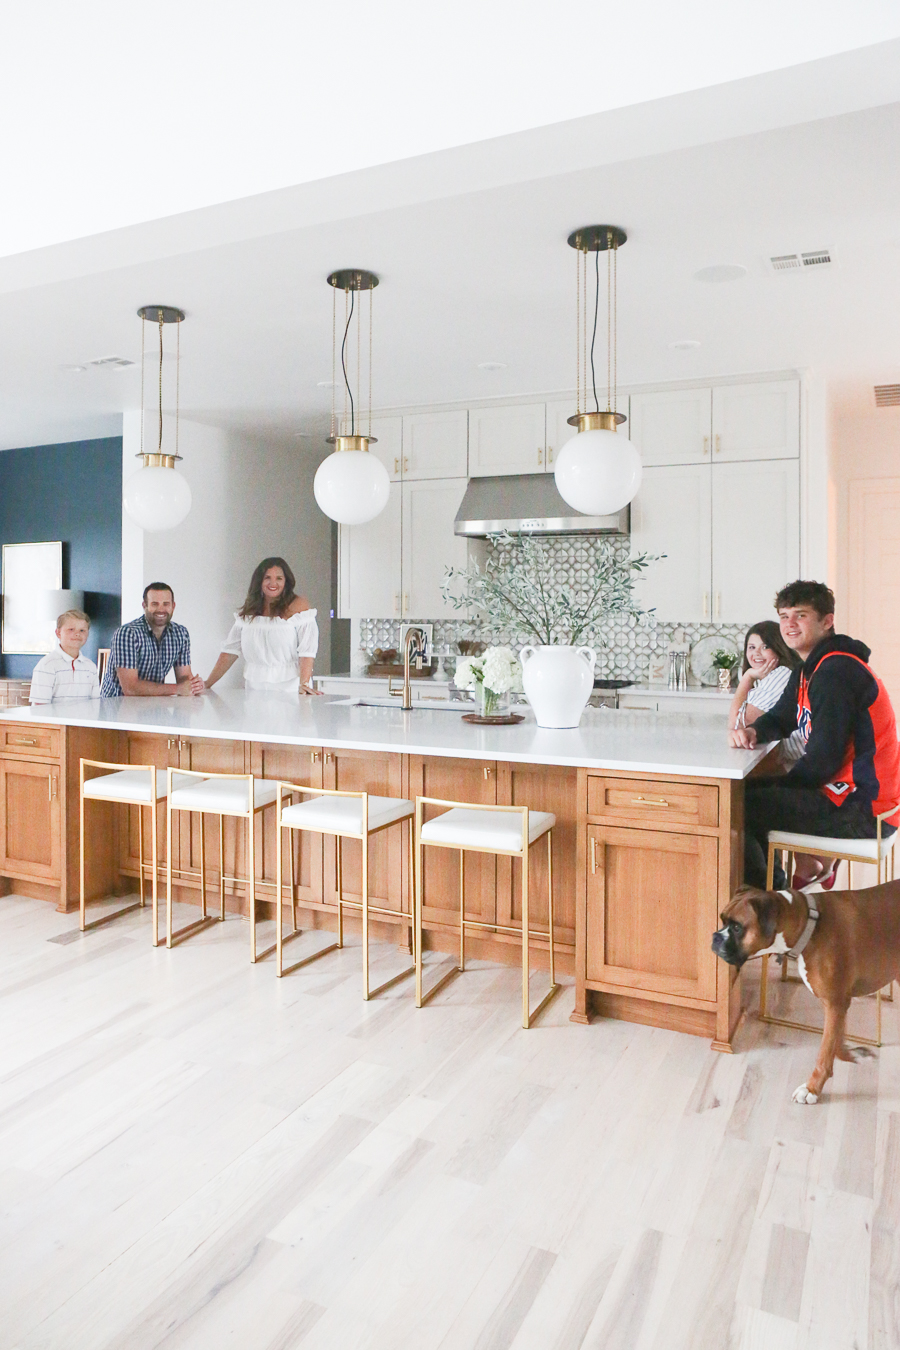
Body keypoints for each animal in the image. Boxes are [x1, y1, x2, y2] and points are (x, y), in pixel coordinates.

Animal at [712, 880, 900, 1101]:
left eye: (737, 927)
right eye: (723, 920)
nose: (715, 937)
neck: (808, 927)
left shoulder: (835, 1003)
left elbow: (825, 1050)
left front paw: (812, 1089)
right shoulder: (838, 1004)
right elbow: (836, 1041)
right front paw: (852, 1055)